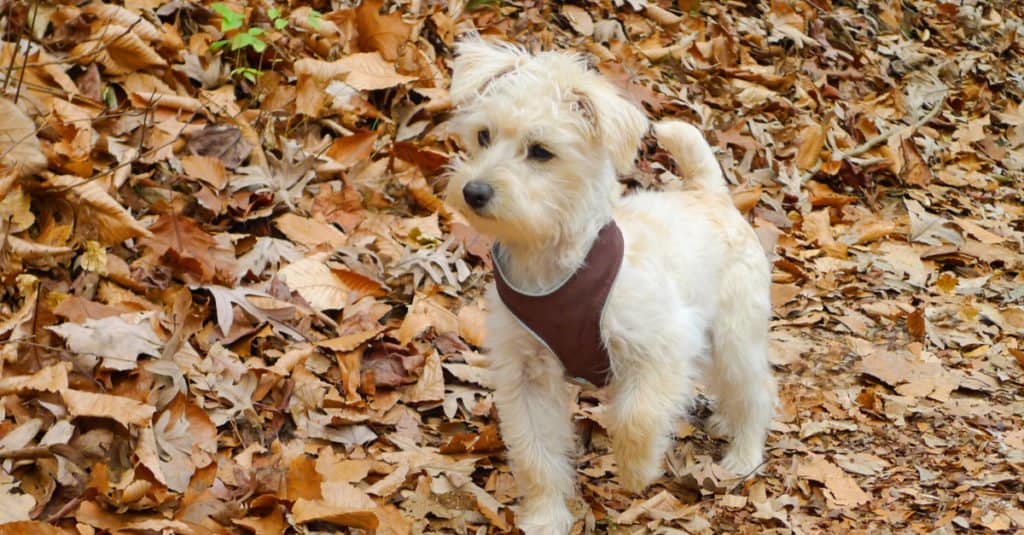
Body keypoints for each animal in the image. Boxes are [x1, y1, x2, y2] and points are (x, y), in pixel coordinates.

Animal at [444, 38, 770, 532]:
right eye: (483, 136)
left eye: (541, 151)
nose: (474, 191)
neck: (556, 265)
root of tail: (710, 195)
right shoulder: (526, 375)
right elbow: (536, 454)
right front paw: (546, 516)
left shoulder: (662, 345)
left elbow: (636, 417)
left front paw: (638, 470)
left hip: (736, 336)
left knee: (754, 391)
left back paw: (744, 452)